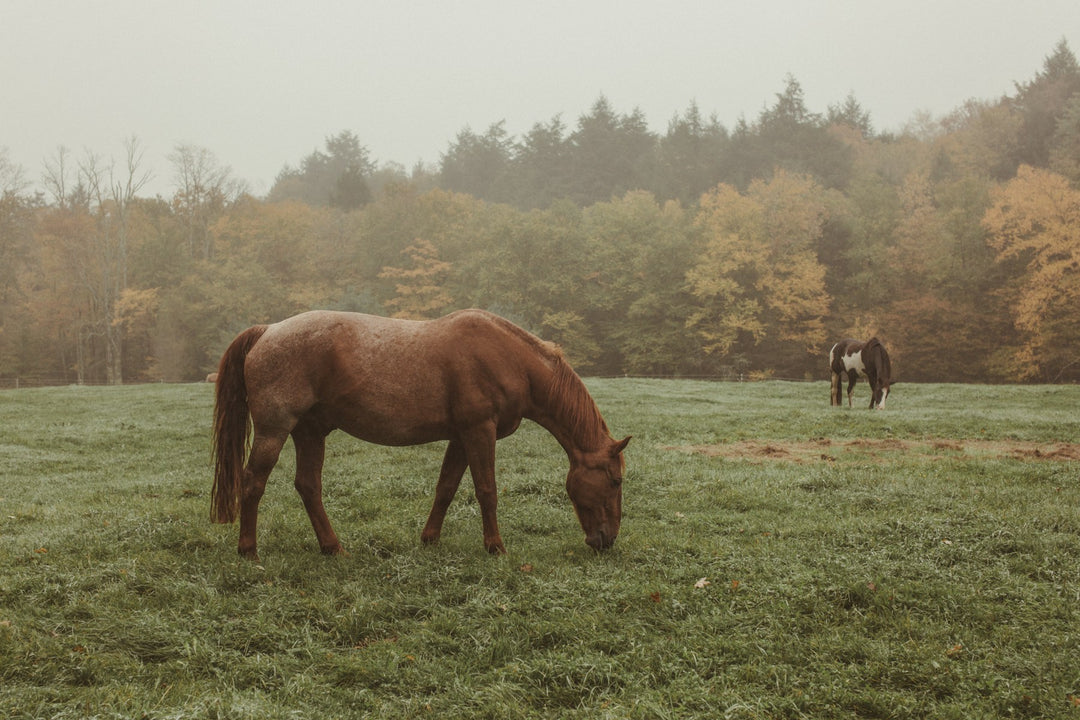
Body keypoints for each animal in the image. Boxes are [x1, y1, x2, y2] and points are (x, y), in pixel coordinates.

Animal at [211, 309, 630, 560]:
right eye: (615, 480)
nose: (606, 540)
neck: (508, 358)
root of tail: (267, 331)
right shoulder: (479, 431)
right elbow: (487, 490)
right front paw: (495, 547)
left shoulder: (462, 437)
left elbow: (446, 488)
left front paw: (429, 539)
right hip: (275, 430)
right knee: (253, 482)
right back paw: (249, 550)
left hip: (310, 432)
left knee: (308, 486)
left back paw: (333, 547)